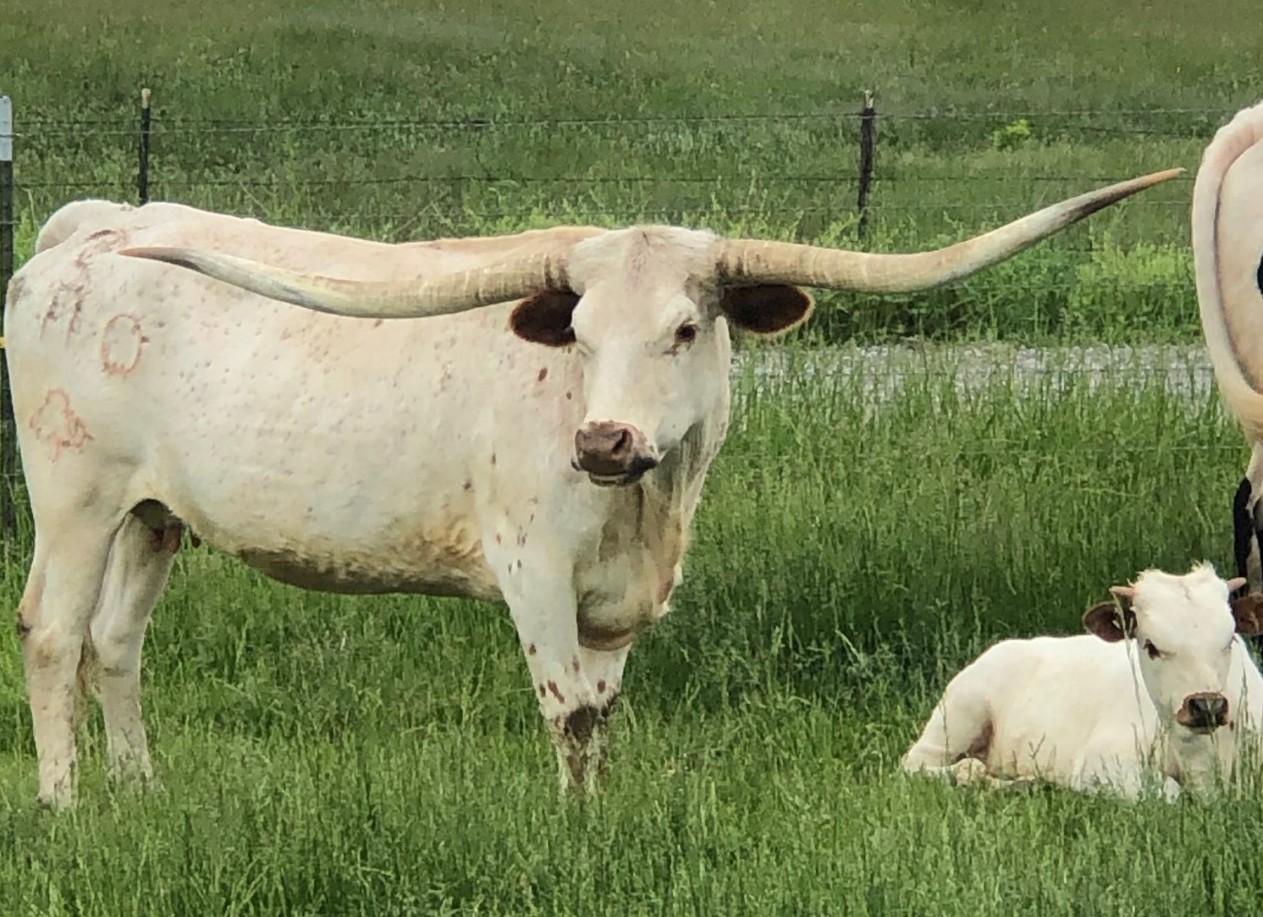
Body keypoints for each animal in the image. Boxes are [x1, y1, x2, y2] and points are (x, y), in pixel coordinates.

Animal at [6, 169, 1177, 808]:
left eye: (687, 327)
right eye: (574, 329)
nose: (605, 439)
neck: (646, 511)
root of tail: (90, 230)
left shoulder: (620, 603)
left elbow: (603, 712)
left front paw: (600, 811)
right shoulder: (532, 571)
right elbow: (567, 709)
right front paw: (573, 828)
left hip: (152, 515)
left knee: (117, 642)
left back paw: (140, 790)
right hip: (75, 500)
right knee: (55, 635)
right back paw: (66, 804)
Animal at [902, 564, 1263, 799]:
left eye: (1229, 639)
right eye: (1150, 646)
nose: (1206, 705)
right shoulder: (1100, 761)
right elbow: (1171, 793)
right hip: (959, 713)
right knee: (918, 763)